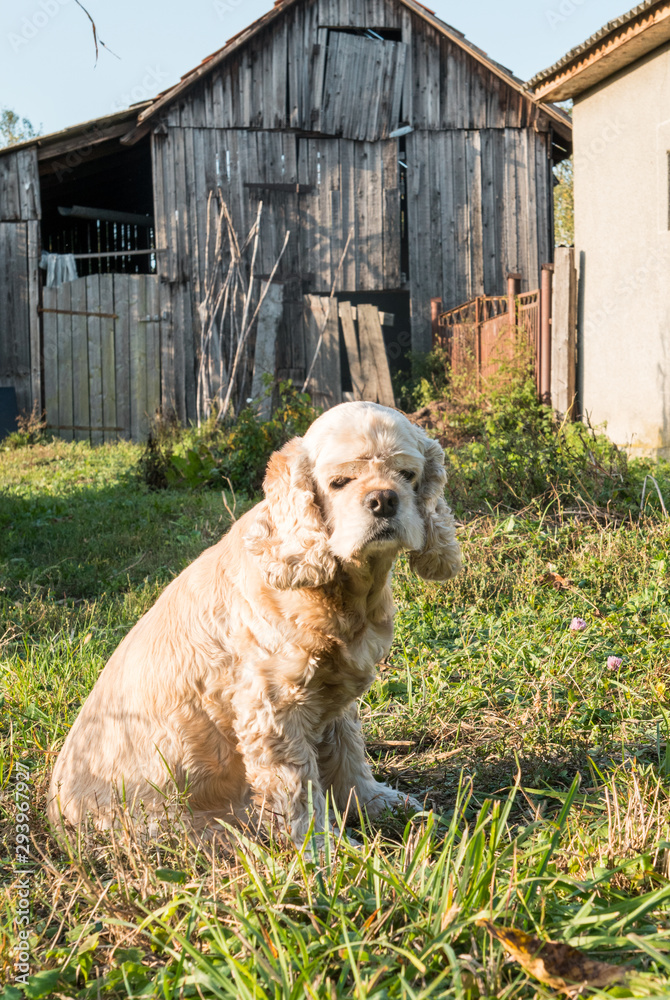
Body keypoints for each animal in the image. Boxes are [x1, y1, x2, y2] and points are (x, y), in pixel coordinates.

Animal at [48, 402, 462, 848]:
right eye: (339, 482)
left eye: (408, 475)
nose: (384, 500)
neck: (343, 591)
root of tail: (57, 814)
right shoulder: (273, 709)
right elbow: (299, 789)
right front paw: (323, 848)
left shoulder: (336, 697)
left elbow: (349, 752)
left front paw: (377, 803)